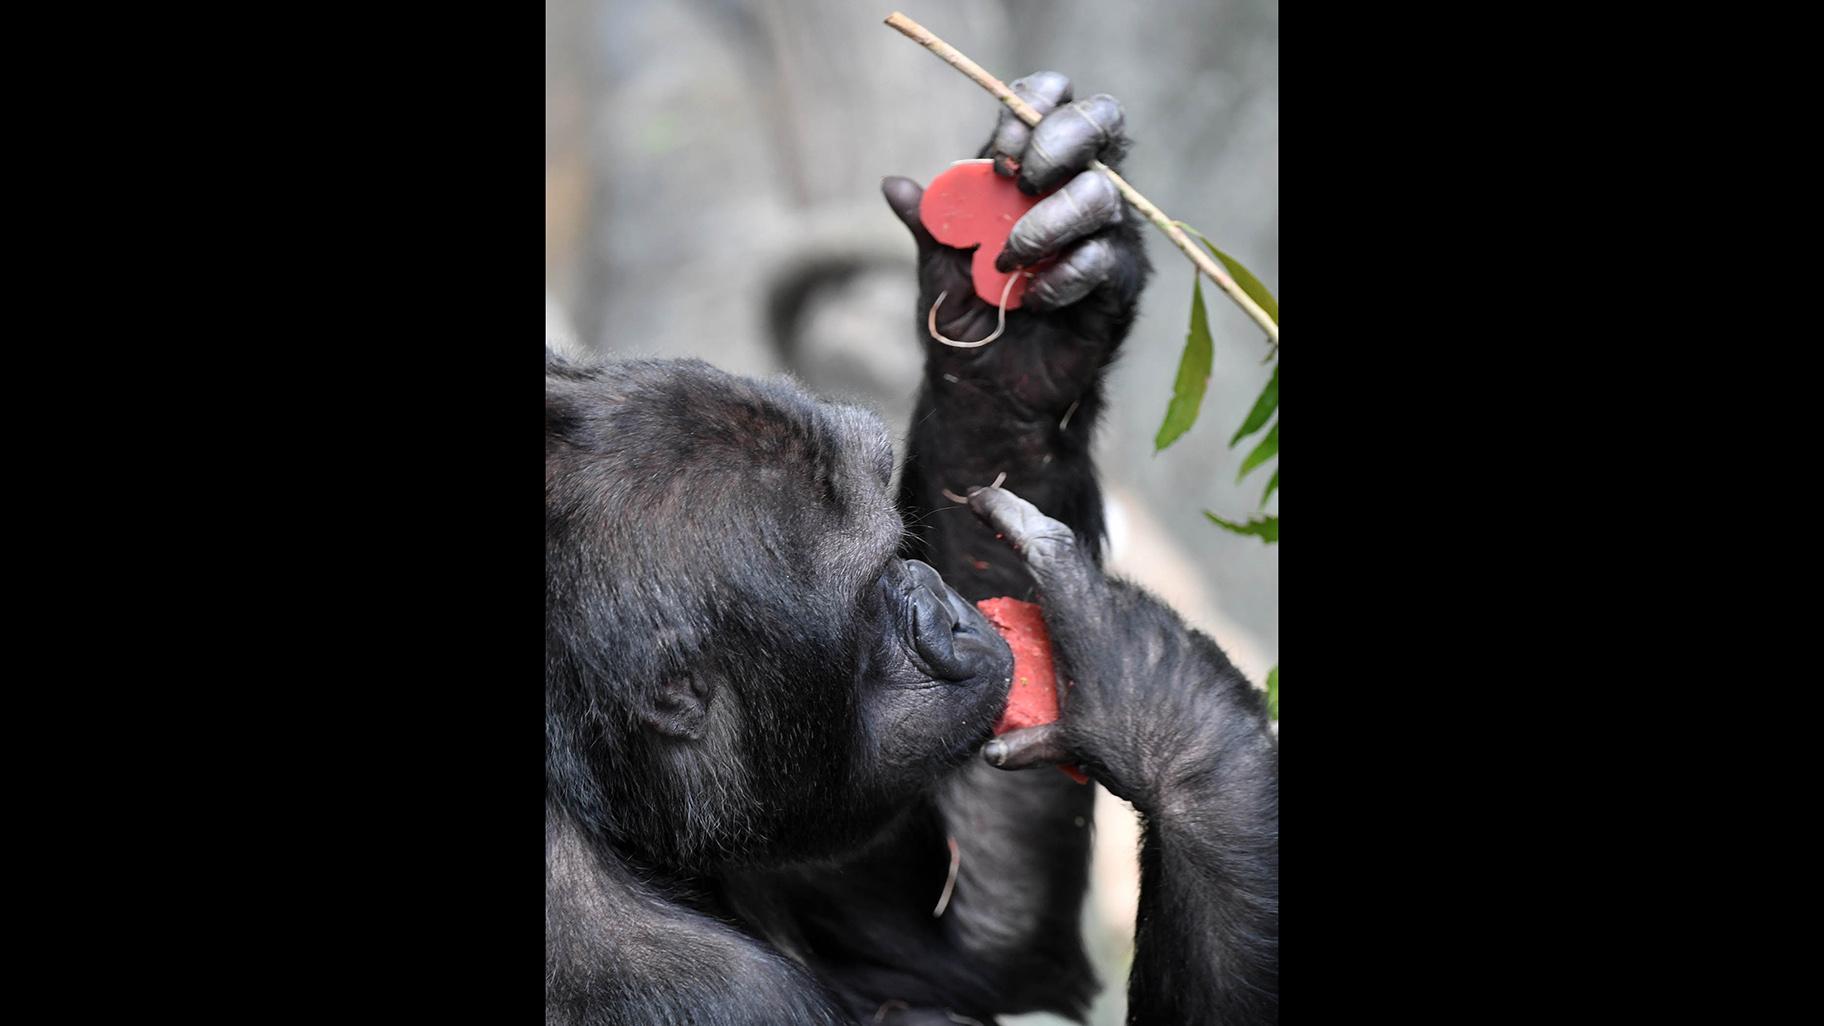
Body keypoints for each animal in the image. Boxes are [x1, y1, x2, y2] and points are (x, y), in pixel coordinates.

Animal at [547, 73, 1276, 1022]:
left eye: (899, 551)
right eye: (869, 593)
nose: (934, 598)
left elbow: (980, 939)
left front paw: (1029, 322)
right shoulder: (701, 990)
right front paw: (1167, 709)